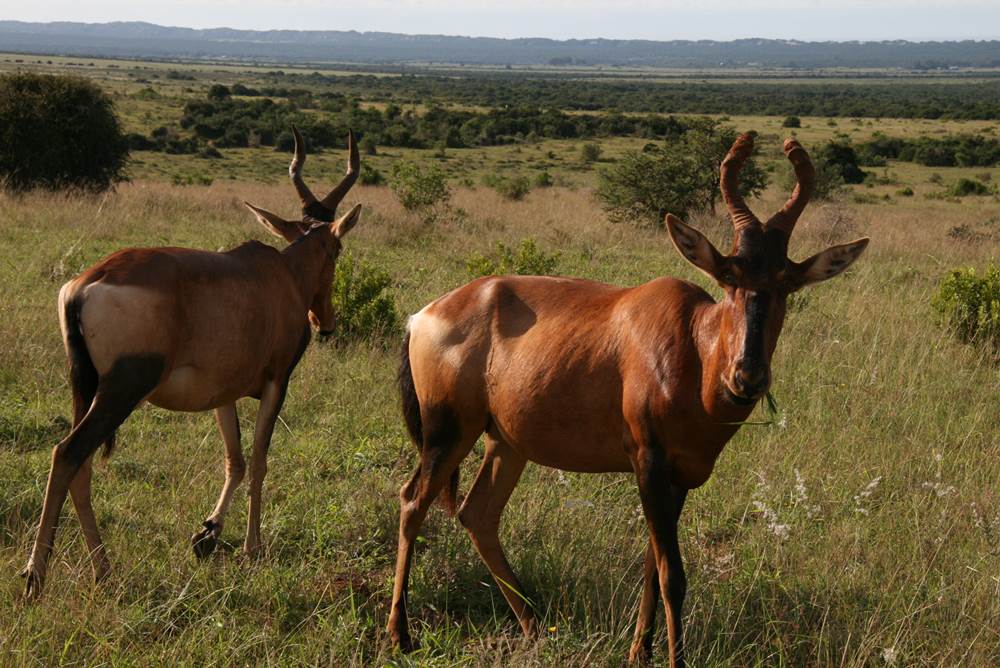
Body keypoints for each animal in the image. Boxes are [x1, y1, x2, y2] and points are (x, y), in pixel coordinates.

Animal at [21, 126, 360, 600]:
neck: (280, 274)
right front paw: (253, 549)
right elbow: (259, 459)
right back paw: (36, 576)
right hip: (122, 389)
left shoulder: (223, 392)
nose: (325, 323)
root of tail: (82, 285)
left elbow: (234, 460)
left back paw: (103, 570)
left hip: (84, 387)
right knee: (66, 453)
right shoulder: (277, 381)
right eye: (337, 248)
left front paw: (207, 534)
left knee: (80, 464)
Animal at [386, 134, 872, 664]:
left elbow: (651, 566)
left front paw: (640, 651)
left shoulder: (679, 476)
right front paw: (673, 658)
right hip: (449, 432)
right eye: (729, 277)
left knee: (478, 513)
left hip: (506, 441)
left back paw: (533, 626)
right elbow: (673, 575)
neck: (693, 344)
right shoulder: (648, 460)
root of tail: (422, 315)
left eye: (787, 283)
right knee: (413, 501)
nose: (747, 377)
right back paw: (400, 634)